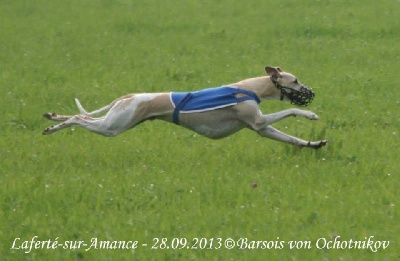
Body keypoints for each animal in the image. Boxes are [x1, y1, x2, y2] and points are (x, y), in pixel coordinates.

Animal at [41, 65, 328, 148]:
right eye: (295, 80)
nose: (311, 92)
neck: (251, 88)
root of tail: (128, 95)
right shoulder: (257, 121)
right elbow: (290, 110)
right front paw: (310, 113)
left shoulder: (262, 129)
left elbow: (292, 139)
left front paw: (315, 144)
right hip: (114, 125)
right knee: (79, 119)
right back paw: (55, 125)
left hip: (116, 121)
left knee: (78, 117)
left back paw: (53, 118)